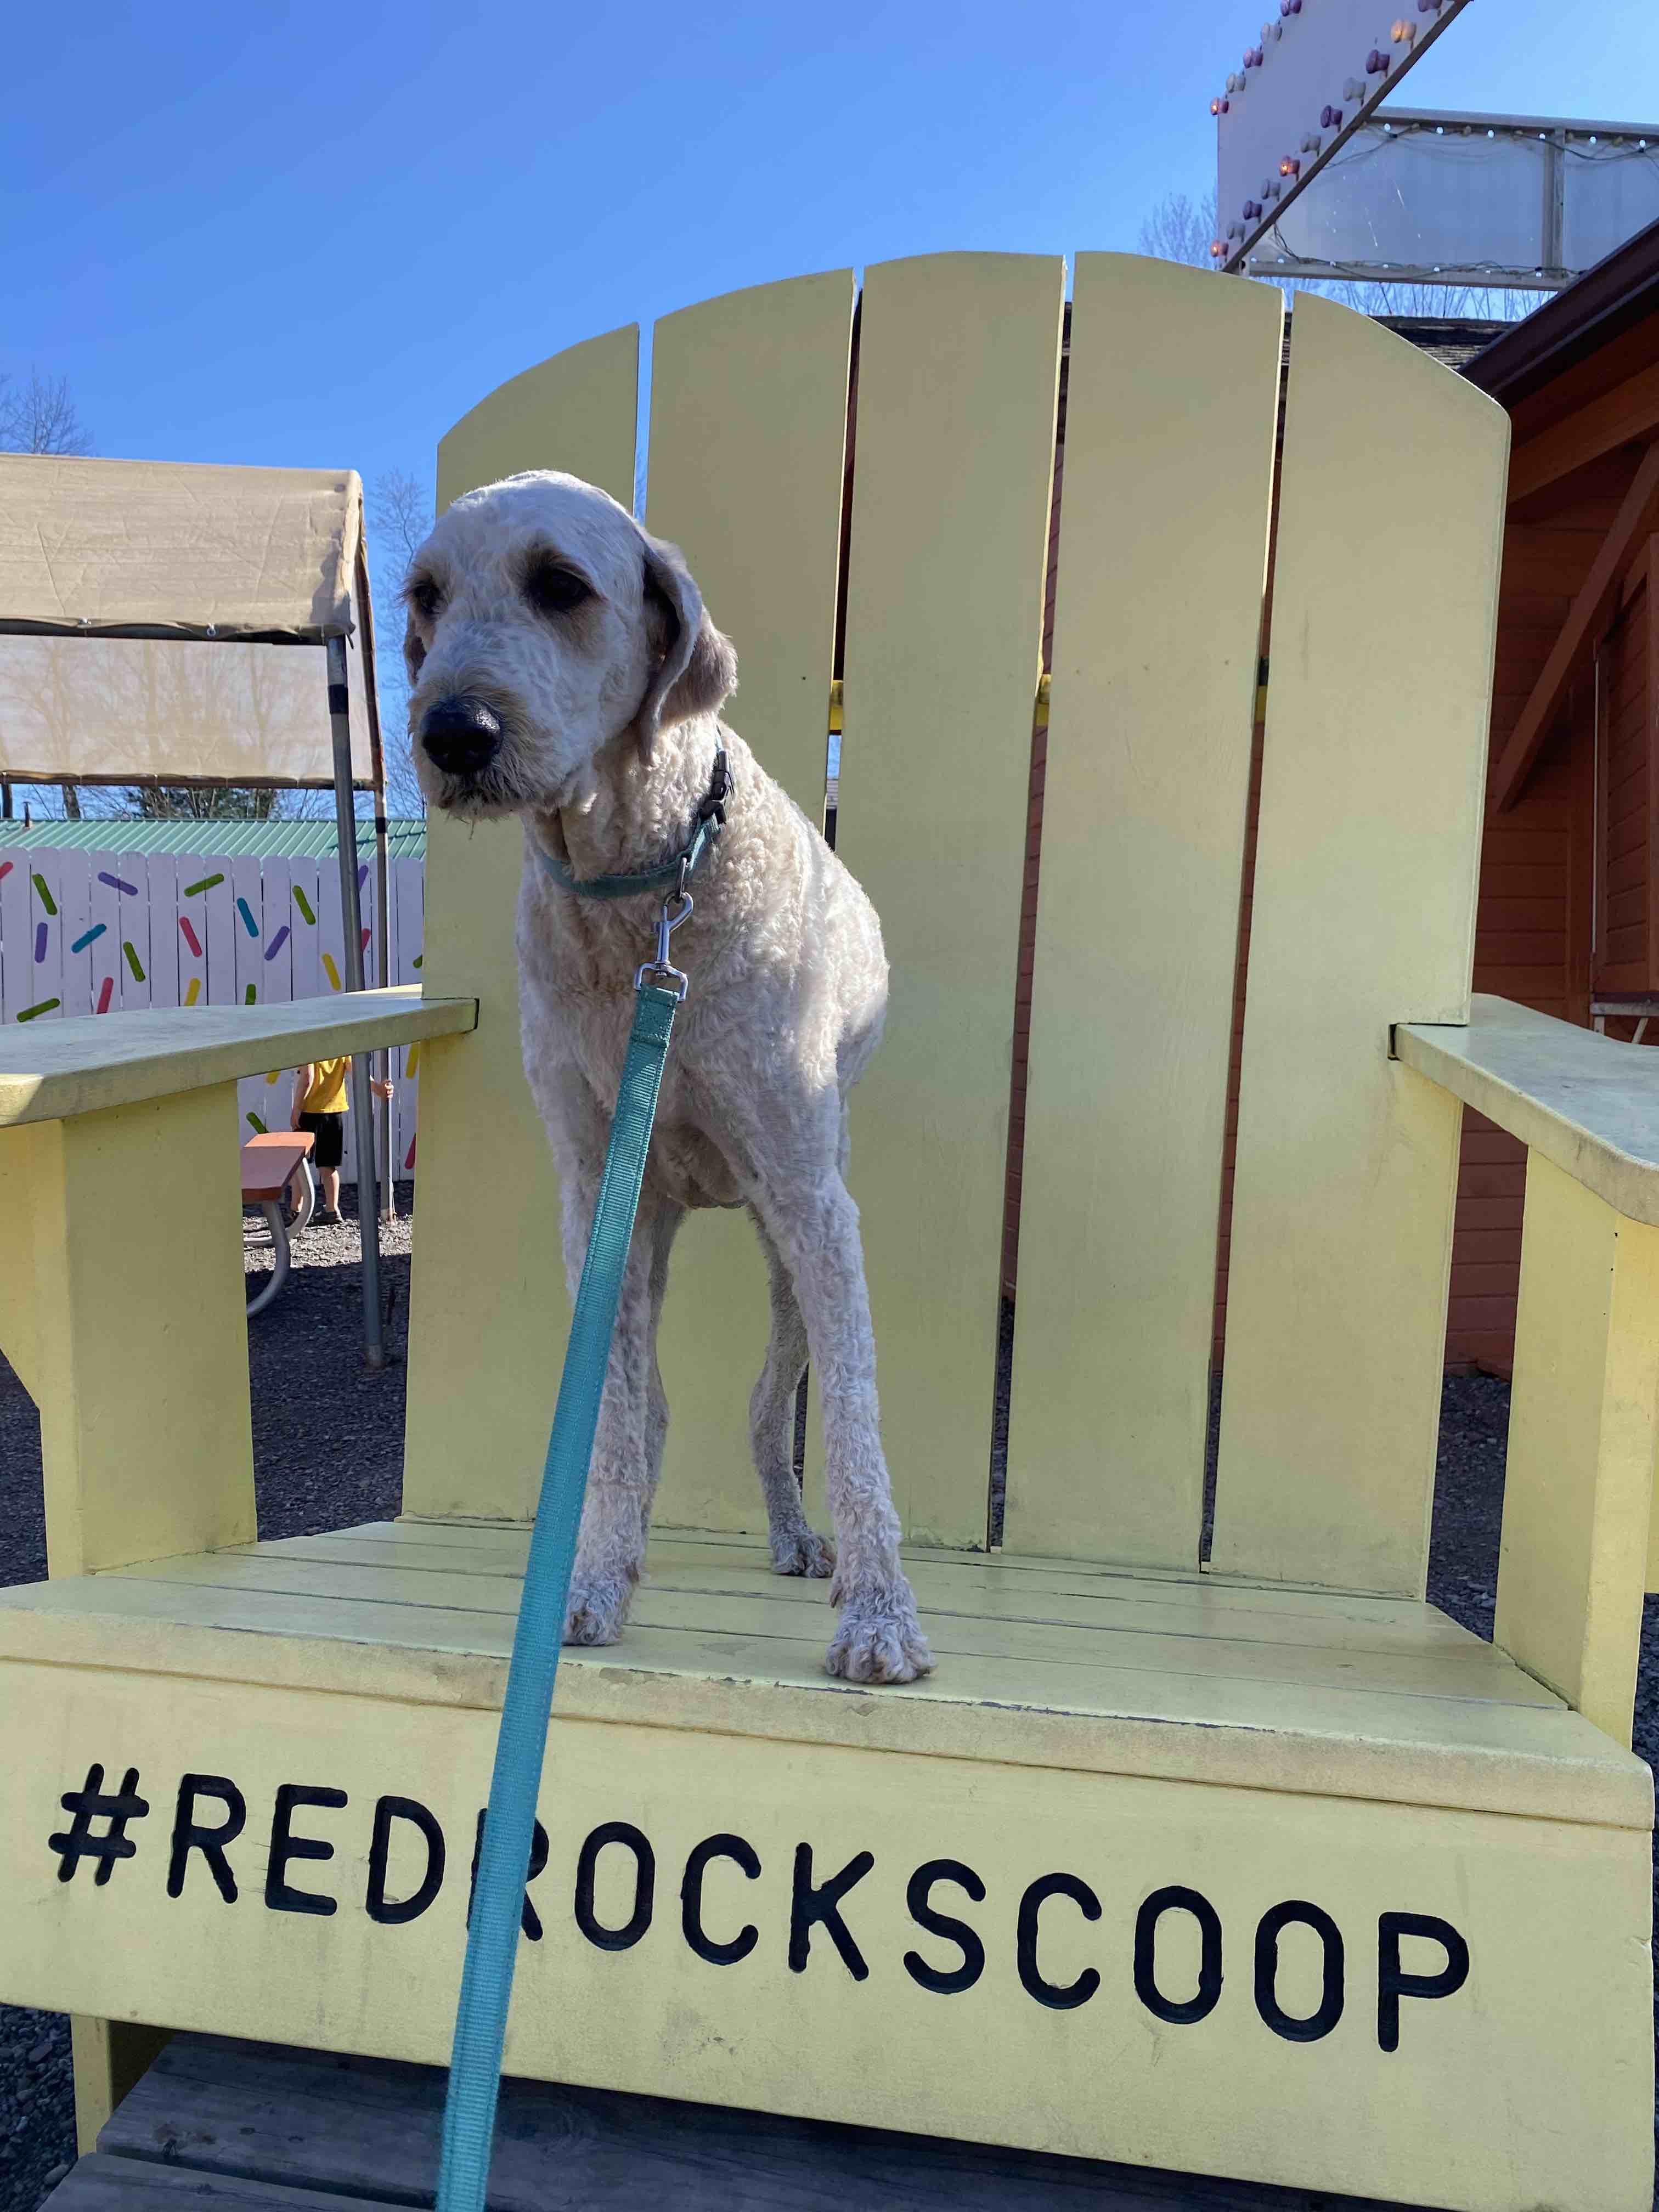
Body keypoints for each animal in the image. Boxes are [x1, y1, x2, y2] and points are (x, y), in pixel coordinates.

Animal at [407, 466, 938, 1672]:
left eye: (561, 585)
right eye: (424, 598)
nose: (451, 732)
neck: (641, 899)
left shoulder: (813, 1202)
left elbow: (853, 1414)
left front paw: (881, 1614)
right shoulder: (596, 1196)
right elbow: (612, 1421)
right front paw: (592, 1579)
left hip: (789, 1255)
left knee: (768, 1407)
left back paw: (800, 1541)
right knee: (650, 1412)